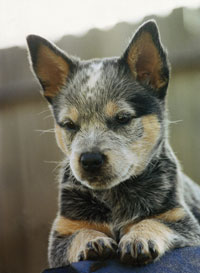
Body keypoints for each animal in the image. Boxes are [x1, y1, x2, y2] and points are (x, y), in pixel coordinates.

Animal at [26, 20, 200, 266]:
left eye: (122, 118)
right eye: (69, 124)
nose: (90, 159)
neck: (113, 196)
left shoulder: (181, 220)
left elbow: (153, 221)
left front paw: (138, 238)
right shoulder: (62, 234)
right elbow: (81, 233)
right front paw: (93, 241)